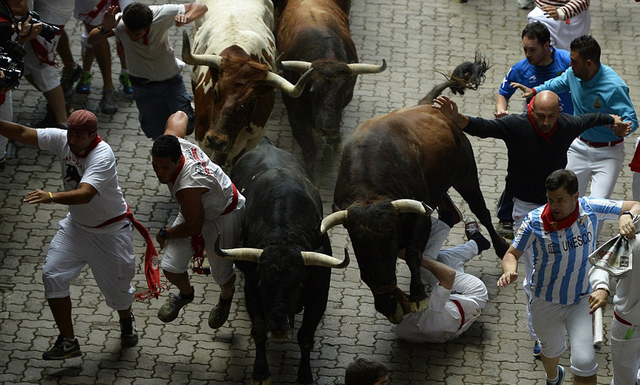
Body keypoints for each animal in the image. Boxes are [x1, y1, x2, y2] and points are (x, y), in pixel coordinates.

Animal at [215, 139, 348, 384]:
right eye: (262, 283)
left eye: (299, 283)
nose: (278, 324)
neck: (283, 232)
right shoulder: (251, 289)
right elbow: (259, 330)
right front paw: (260, 371)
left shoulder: (319, 293)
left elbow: (306, 335)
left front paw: (304, 375)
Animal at [324, 54, 510, 324]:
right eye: (358, 240)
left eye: (390, 235)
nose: (383, 286)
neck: (370, 191)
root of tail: (426, 105)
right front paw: (388, 303)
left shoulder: (419, 219)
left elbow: (413, 253)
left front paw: (418, 294)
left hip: (465, 174)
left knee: (482, 210)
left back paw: (501, 246)